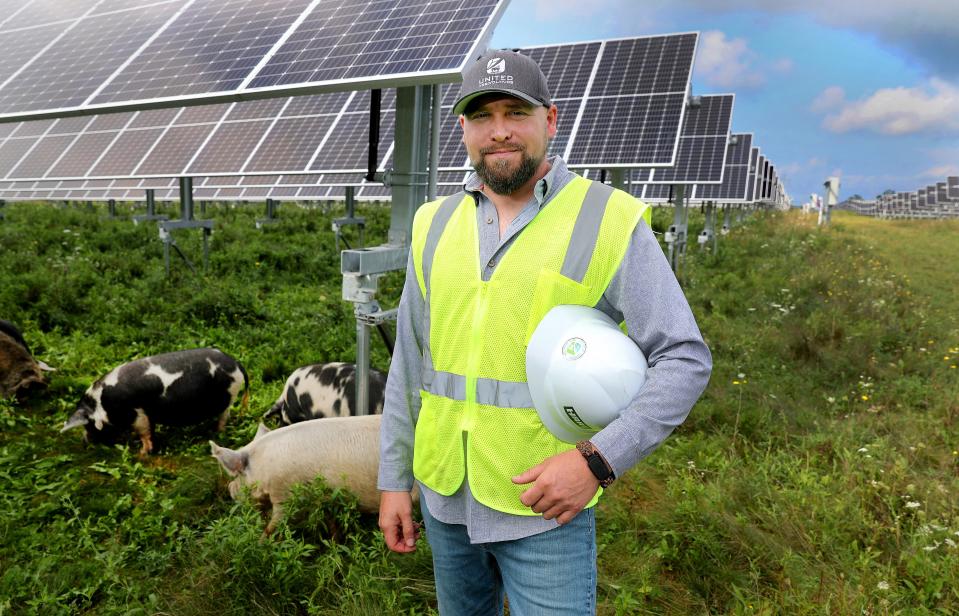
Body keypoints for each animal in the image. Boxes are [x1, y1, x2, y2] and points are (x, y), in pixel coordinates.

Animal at [61, 348, 248, 454]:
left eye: (88, 425)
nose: (84, 442)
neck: (102, 404)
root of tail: (236, 363)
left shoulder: (138, 414)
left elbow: (144, 433)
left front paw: (143, 453)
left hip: (229, 395)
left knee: (224, 415)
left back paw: (216, 432)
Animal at [210, 414, 412, 536]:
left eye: (238, 474)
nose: (230, 488)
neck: (264, 467)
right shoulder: (325, 497)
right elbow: (331, 523)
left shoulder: (287, 495)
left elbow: (274, 526)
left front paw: (261, 545)